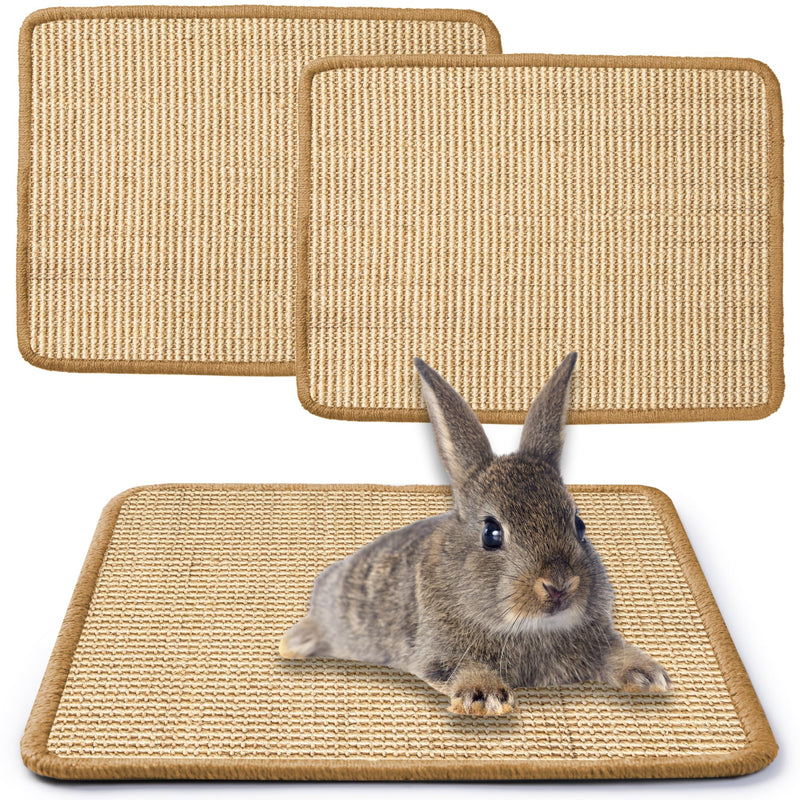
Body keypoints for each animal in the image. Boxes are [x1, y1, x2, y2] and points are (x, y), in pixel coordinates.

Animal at [280, 352, 671, 715]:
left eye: (579, 524)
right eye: (491, 534)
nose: (559, 585)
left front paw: (649, 675)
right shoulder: (437, 652)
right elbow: (461, 668)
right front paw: (485, 696)